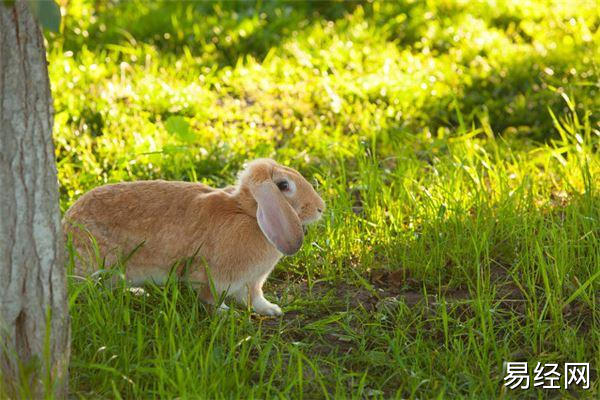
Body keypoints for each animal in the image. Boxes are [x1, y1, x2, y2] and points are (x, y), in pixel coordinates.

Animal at [63, 159, 326, 316]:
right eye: (283, 185)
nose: (320, 208)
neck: (248, 213)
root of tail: (66, 226)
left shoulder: (253, 281)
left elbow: (255, 297)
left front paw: (272, 310)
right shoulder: (212, 276)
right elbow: (211, 298)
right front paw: (226, 313)